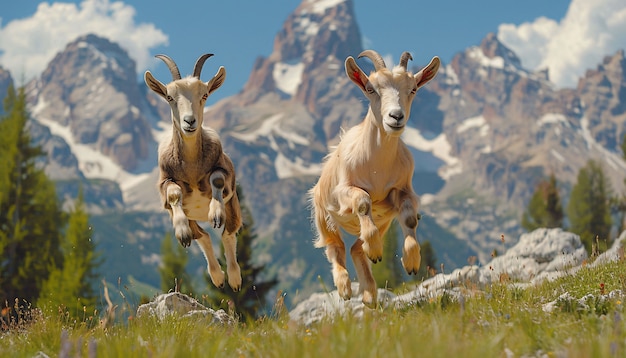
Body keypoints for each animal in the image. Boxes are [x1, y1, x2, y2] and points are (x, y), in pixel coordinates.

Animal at [145, 54, 243, 292]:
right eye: (169, 97)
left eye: (204, 95)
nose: (189, 121)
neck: (191, 167)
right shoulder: (165, 182)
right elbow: (173, 194)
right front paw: (181, 233)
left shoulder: (225, 172)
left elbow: (217, 179)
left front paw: (215, 214)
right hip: (192, 219)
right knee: (203, 236)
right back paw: (217, 277)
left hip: (234, 206)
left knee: (228, 234)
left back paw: (234, 279)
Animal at [308, 49, 438, 304]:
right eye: (371, 89)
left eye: (413, 89)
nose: (396, 116)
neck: (377, 168)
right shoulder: (344, 189)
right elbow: (362, 200)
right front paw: (376, 249)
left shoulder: (403, 190)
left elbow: (409, 218)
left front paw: (411, 262)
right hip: (323, 216)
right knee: (335, 246)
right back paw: (345, 287)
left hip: (383, 222)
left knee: (356, 248)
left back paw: (369, 293)